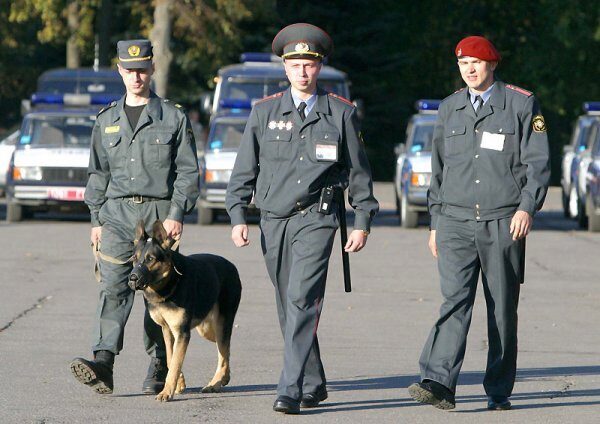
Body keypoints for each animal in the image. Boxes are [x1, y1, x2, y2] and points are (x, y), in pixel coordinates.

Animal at [128, 220, 241, 402]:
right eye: (134, 258)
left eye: (150, 259)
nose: (132, 279)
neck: (168, 284)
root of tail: (232, 266)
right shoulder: (167, 330)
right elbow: (171, 357)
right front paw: (178, 384)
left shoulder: (182, 333)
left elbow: (175, 363)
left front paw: (167, 392)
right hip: (207, 329)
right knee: (225, 350)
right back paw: (224, 379)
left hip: (220, 324)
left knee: (224, 352)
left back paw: (215, 383)